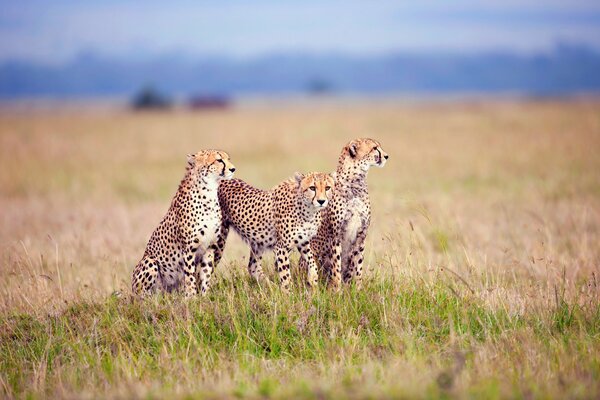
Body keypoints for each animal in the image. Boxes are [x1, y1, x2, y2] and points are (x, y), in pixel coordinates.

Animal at [131, 150, 237, 296]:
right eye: (219, 160)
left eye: (228, 159)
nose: (233, 168)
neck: (209, 194)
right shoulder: (188, 249)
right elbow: (190, 277)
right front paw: (191, 297)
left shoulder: (210, 247)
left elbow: (205, 275)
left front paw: (204, 296)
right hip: (149, 262)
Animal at [304, 139, 390, 290]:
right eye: (375, 148)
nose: (386, 156)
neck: (356, 182)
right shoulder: (336, 235)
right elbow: (336, 266)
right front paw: (337, 290)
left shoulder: (361, 234)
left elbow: (357, 265)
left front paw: (357, 289)